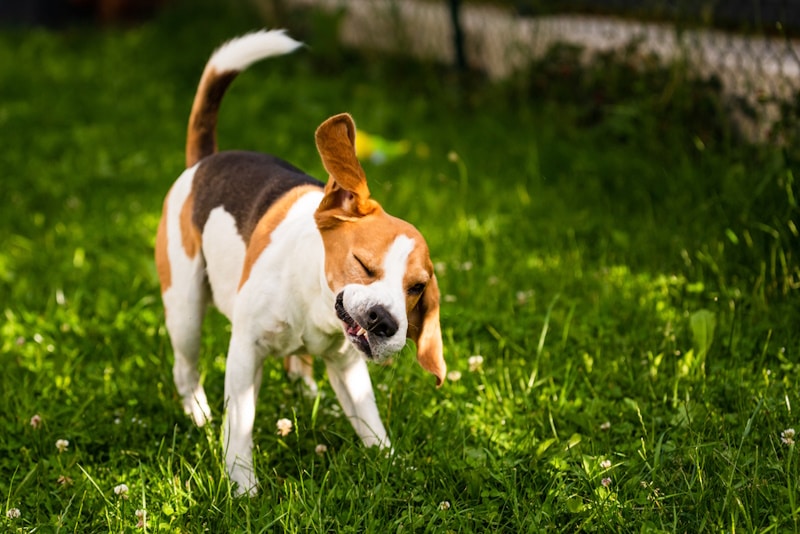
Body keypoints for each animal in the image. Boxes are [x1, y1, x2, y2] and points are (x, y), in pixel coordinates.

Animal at [153, 31, 446, 496]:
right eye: (363, 264)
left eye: (416, 288)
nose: (384, 321)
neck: (316, 306)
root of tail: (204, 160)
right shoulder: (245, 349)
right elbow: (241, 428)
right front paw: (243, 488)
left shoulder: (349, 368)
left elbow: (372, 424)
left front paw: (395, 467)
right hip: (185, 311)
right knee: (187, 370)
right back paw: (198, 413)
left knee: (294, 367)